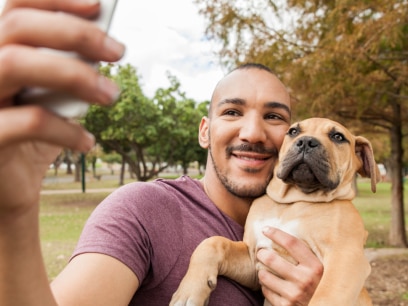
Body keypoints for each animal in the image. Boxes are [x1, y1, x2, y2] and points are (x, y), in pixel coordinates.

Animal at [170, 118, 380, 304]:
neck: (292, 201)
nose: (306, 142)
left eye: (338, 137)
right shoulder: (254, 261)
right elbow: (213, 243)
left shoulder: (346, 258)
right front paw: (189, 291)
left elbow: (326, 297)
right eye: (293, 131)